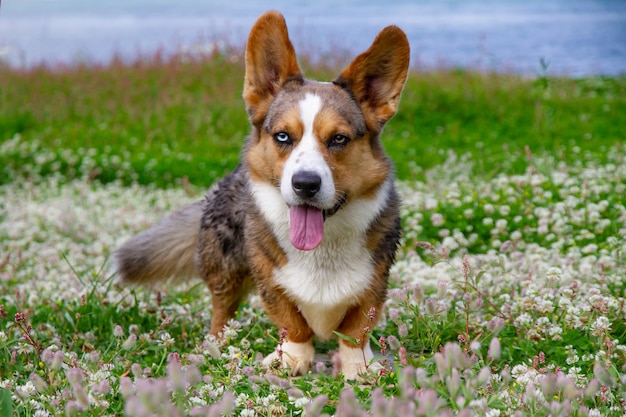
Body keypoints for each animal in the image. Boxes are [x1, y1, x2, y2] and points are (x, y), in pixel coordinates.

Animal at [115, 10, 410, 380]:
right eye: (283, 136)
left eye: (339, 139)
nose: (305, 184)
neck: (322, 250)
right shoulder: (270, 281)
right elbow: (292, 322)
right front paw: (292, 359)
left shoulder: (374, 282)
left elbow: (356, 329)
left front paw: (358, 368)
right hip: (224, 268)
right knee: (222, 311)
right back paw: (217, 344)